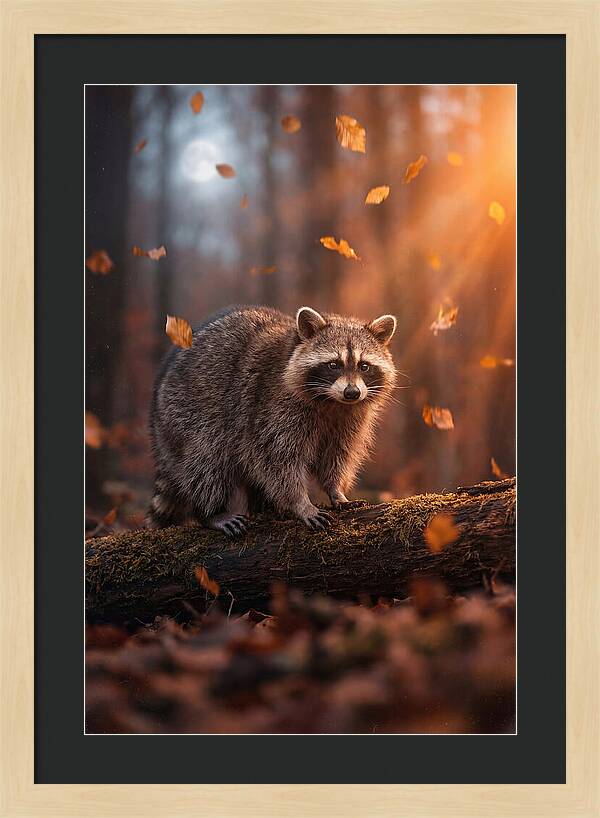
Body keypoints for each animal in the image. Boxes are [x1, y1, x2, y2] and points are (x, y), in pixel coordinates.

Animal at [147, 305, 397, 536]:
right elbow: (278, 460)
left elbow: (336, 456)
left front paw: (336, 490)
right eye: (334, 364)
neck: (332, 402)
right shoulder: (271, 408)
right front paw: (301, 503)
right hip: (187, 415)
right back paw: (211, 512)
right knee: (206, 462)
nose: (352, 393)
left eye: (364, 366)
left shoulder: (349, 420)